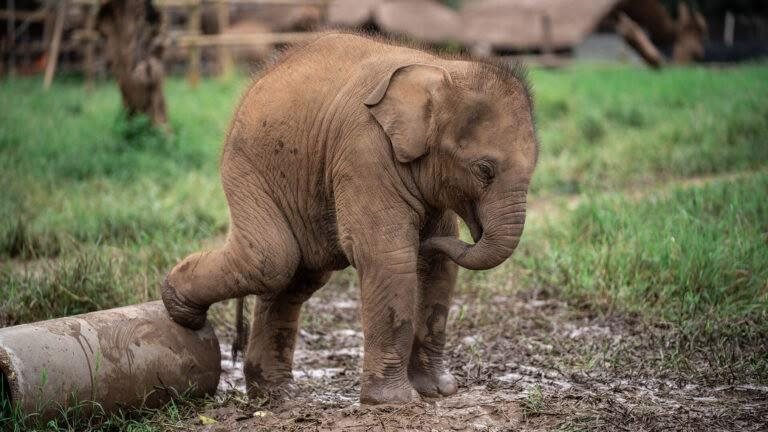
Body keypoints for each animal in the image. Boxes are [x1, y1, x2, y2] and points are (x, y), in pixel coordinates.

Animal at [161, 31, 538, 405]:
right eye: (484, 170)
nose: (429, 237)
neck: (446, 68)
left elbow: (438, 266)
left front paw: (439, 391)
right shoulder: (364, 150)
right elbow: (388, 256)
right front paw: (394, 402)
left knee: (298, 276)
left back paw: (276, 395)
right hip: (248, 168)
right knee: (271, 258)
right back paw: (180, 311)